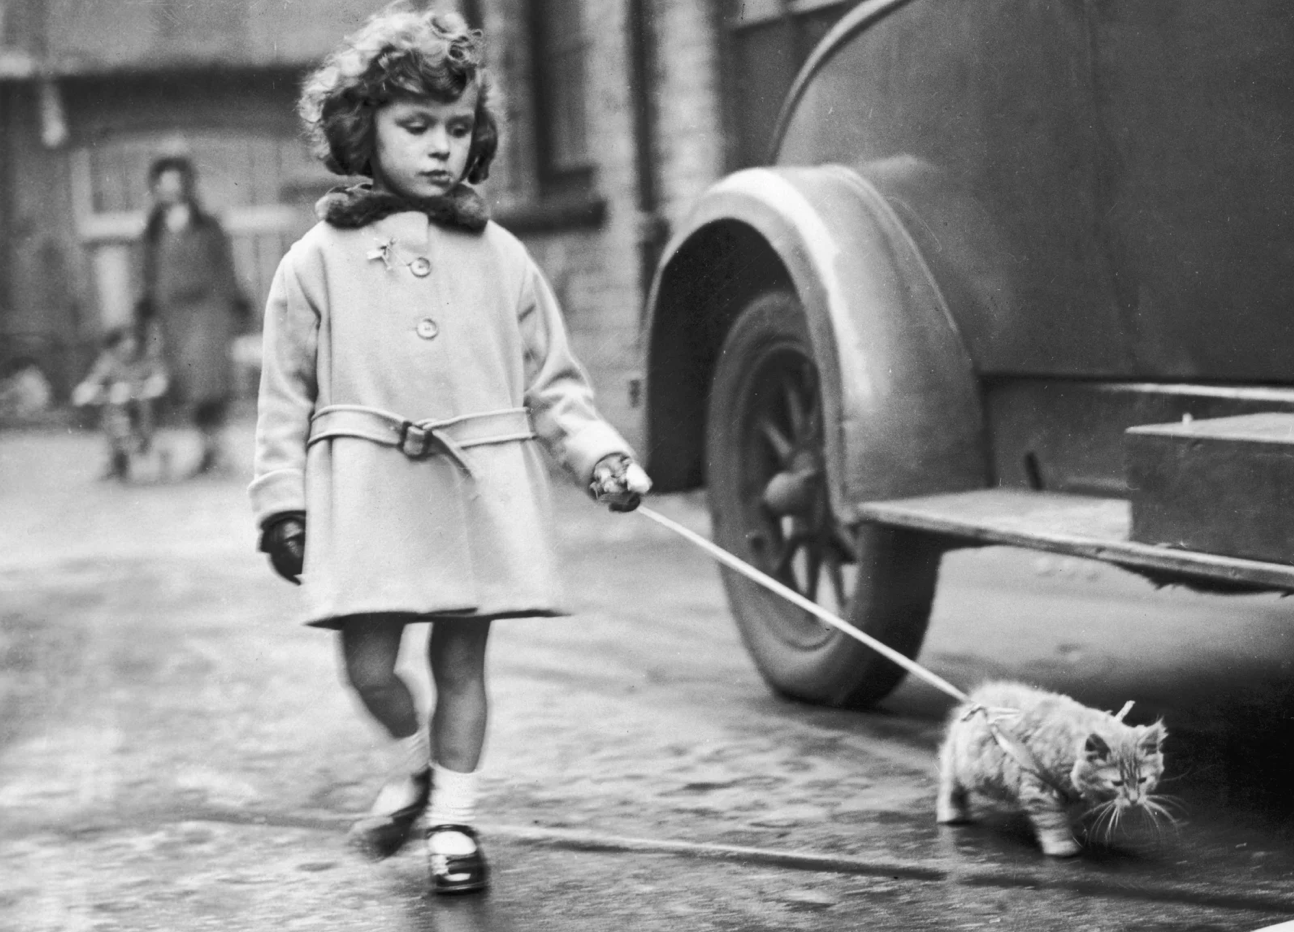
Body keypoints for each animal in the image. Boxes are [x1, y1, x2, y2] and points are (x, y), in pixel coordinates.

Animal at [936, 678, 1169, 854]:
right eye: (1117, 783)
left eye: (1142, 780)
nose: (1134, 800)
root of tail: (978, 700)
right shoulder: (1038, 789)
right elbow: (1052, 821)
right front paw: (1062, 846)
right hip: (962, 766)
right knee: (950, 786)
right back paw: (951, 813)